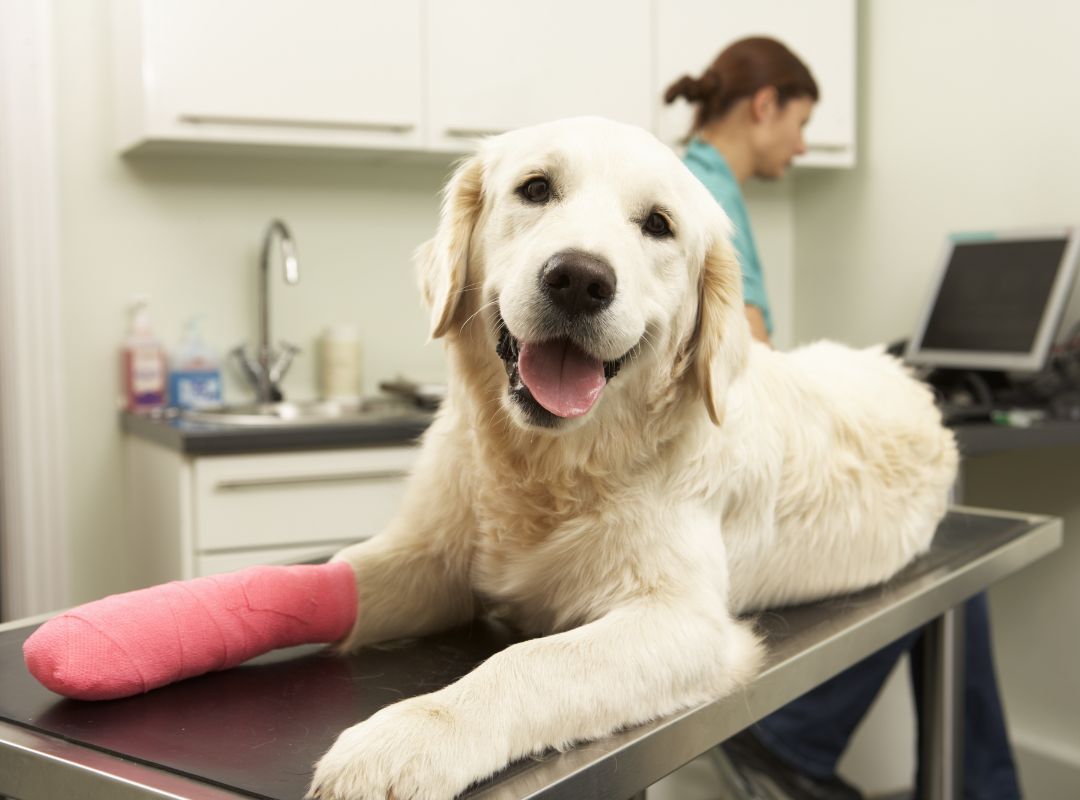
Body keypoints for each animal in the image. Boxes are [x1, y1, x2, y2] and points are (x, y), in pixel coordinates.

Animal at [308, 117, 959, 798]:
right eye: (535, 188)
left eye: (658, 224)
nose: (579, 279)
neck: (550, 466)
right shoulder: (432, 556)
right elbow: (344, 575)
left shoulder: (684, 621)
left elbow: (531, 660)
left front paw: (407, 737)